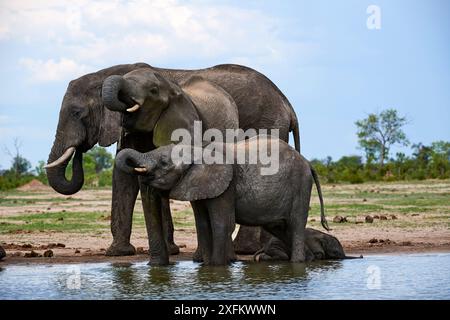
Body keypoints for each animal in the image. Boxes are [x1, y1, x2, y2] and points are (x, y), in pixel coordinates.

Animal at [45, 63, 300, 258]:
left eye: (77, 113)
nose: (79, 150)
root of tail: (287, 103)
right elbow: (125, 175)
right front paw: (119, 253)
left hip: (266, 123)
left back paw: (245, 251)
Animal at [114, 137, 328, 264]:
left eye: (164, 163)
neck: (198, 151)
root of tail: (307, 162)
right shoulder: (197, 185)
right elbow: (202, 224)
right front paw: (207, 267)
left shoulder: (226, 185)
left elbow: (221, 224)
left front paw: (216, 269)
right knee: (281, 229)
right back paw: (308, 260)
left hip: (301, 186)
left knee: (296, 225)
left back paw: (298, 264)